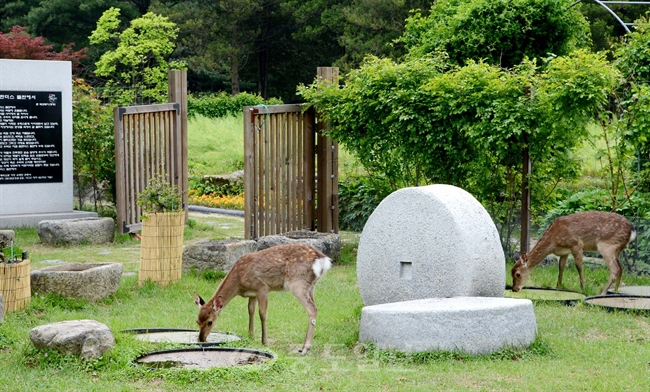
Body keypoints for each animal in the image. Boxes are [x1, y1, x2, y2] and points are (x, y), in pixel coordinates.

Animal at [192, 242, 330, 356]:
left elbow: (262, 313)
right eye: (197, 321)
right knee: (314, 307)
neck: (239, 281)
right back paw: (302, 348)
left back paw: (306, 349)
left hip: (297, 283)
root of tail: (324, 260)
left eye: (210, 322)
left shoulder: (262, 287)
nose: (201, 339)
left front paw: (264, 341)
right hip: (311, 286)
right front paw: (251, 336)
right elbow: (250, 310)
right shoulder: (252, 294)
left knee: (312, 309)